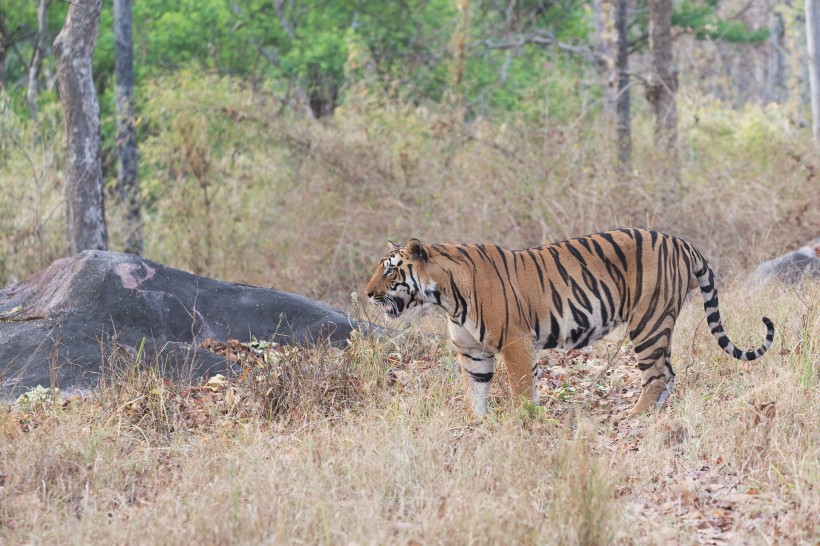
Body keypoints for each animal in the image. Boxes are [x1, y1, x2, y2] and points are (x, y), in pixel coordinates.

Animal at [366, 227, 776, 414]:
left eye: (389, 271)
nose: (368, 293)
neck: (445, 297)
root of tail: (682, 242)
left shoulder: (514, 342)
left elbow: (520, 388)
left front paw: (525, 421)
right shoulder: (473, 352)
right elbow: (477, 390)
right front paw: (479, 422)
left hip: (647, 322)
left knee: (657, 375)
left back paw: (637, 416)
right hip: (659, 324)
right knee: (669, 373)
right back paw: (656, 413)